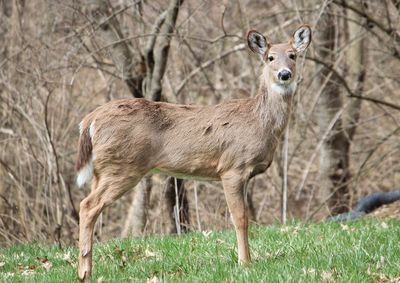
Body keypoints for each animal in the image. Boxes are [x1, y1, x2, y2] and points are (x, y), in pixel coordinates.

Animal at [76, 25, 312, 282]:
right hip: (123, 166)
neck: (258, 120)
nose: (284, 74)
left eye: (293, 55)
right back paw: (84, 272)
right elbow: (240, 218)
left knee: (90, 205)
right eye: (270, 57)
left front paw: (247, 260)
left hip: (102, 170)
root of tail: (89, 121)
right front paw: (245, 263)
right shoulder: (232, 167)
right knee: (87, 205)